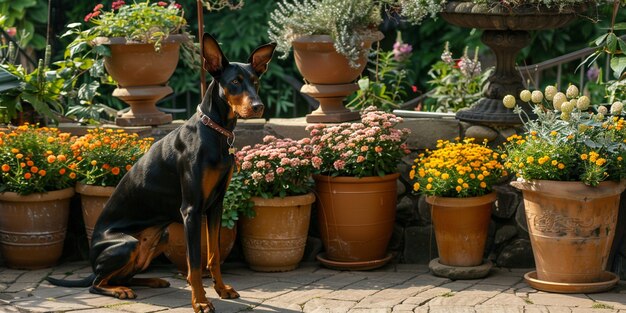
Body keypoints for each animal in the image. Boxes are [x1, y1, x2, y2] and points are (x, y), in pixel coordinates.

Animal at [47, 33, 274, 310]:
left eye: (255, 82)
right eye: (234, 82)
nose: (258, 106)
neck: (216, 133)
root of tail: (92, 263)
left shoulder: (215, 206)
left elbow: (213, 255)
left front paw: (220, 289)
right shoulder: (191, 210)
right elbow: (194, 263)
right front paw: (200, 302)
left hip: (161, 236)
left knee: (124, 276)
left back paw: (152, 281)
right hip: (126, 244)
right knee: (96, 284)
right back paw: (120, 290)